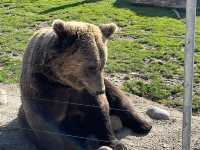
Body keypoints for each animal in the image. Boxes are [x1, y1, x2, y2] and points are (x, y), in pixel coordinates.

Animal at [18, 19, 152, 150]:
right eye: (91, 67)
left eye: (103, 64)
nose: (100, 90)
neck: (62, 81)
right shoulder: (42, 87)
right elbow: (46, 123)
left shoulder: (85, 90)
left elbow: (100, 109)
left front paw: (117, 144)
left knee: (118, 98)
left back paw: (144, 124)